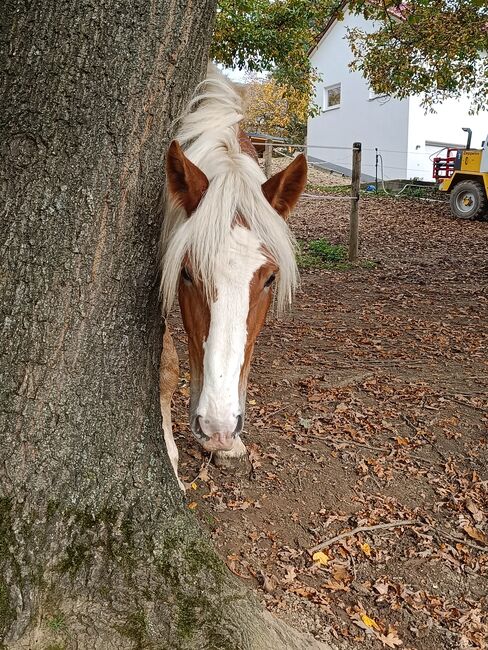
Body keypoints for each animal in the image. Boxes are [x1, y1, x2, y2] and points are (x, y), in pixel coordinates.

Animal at [160, 64, 304, 486]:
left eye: (270, 279)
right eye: (187, 274)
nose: (218, 427)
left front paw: (231, 443)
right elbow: (168, 366)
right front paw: (171, 456)